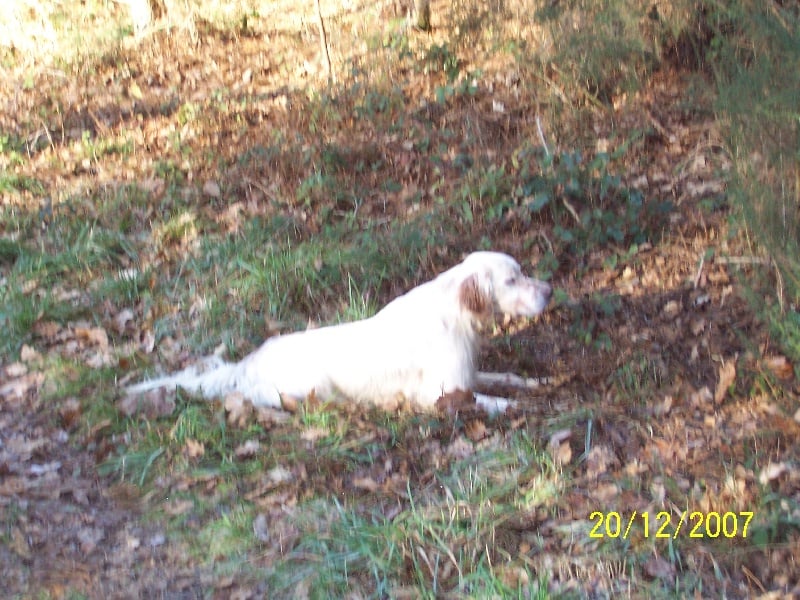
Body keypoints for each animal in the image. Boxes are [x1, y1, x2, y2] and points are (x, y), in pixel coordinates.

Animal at [125, 251, 552, 412]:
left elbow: (508, 377)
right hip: (309, 385)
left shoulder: (471, 372)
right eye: (512, 280)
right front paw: (518, 406)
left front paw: (537, 382)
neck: (457, 313)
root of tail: (246, 363)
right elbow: (488, 400)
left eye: (522, 272)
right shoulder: (439, 392)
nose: (549, 290)